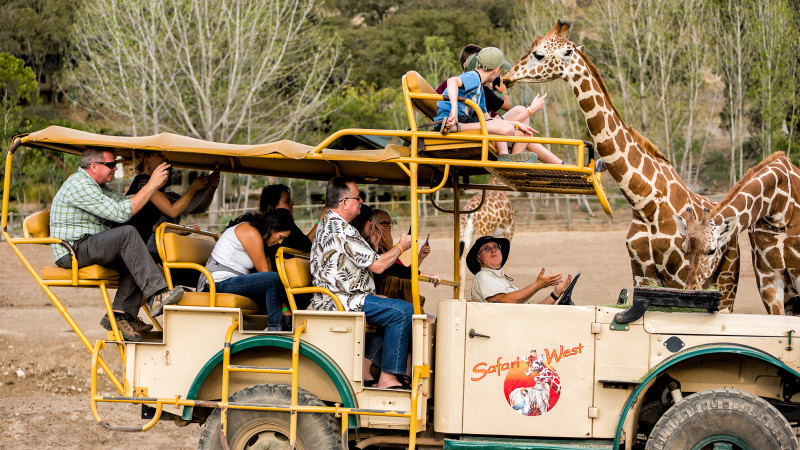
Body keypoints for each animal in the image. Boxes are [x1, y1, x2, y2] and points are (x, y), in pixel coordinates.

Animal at [504, 20, 740, 310]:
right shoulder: (641, 272)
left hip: (727, 279)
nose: (507, 77)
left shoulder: (681, 272)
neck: (646, 203)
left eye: (538, 54)